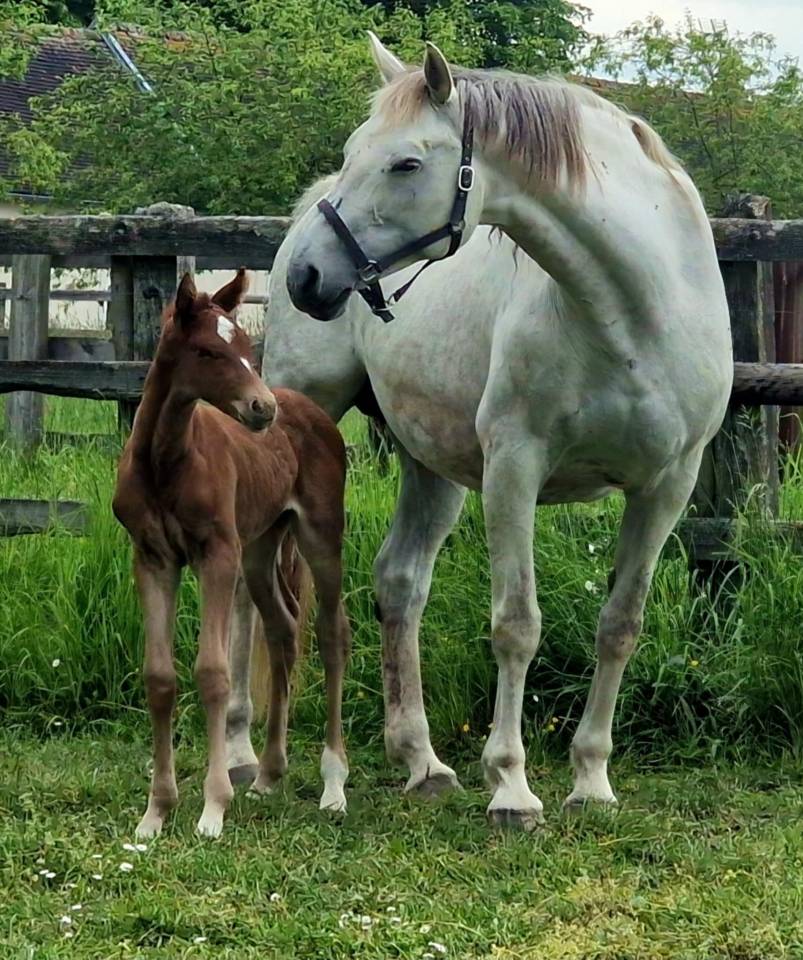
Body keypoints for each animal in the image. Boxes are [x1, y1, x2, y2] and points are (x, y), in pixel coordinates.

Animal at [113, 269, 351, 838]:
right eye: (207, 351)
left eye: (245, 345)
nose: (263, 408)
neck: (166, 462)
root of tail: (311, 410)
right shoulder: (153, 558)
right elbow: (160, 678)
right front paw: (155, 813)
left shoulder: (216, 554)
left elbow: (214, 673)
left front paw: (213, 808)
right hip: (261, 547)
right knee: (284, 629)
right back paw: (269, 774)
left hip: (319, 536)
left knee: (332, 635)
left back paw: (334, 786)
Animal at [277, 36, 732, 829]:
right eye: (355, 151)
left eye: (405, 163)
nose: (308, 276)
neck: (636, 315)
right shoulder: (514, 470)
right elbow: (517, 625)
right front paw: (513, 788)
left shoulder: (665, 488)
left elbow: (620, 625)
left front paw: (591, 779)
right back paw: (248, 759)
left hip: (430, 466)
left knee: (400, 582)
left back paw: (421, 761)